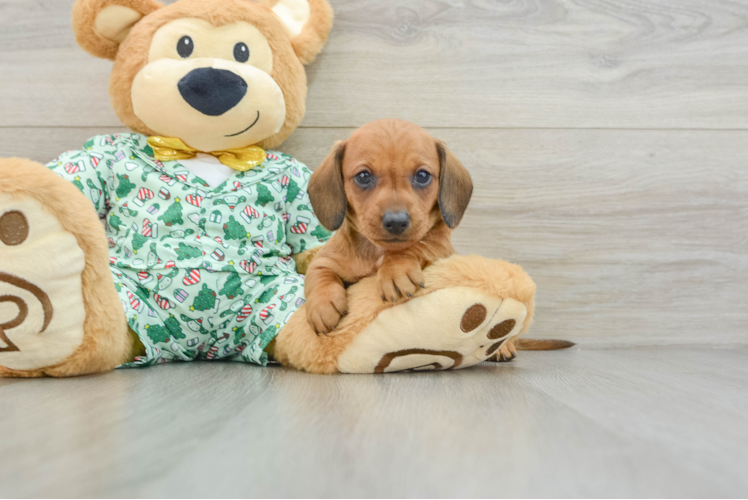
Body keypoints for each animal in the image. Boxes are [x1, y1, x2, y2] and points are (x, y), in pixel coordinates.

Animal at [302, 118, 468, 334]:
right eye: (363, 176)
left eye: (423, 175)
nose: (396, 222)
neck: (376, 252)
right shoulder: (324, 259)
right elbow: (318, 273)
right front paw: (322, 303)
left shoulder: (442, 250)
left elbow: (413, 246)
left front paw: (395, 269)